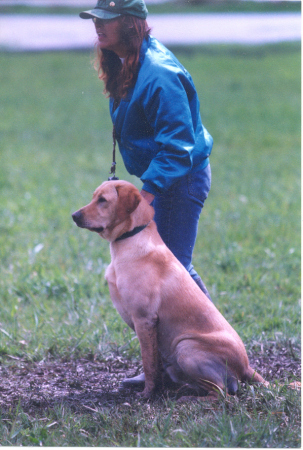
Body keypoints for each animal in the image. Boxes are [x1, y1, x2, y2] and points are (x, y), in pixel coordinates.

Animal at [73, 179, 268, 398]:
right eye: (93, 197)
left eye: (103, 200)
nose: (74, 216)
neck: (130, 239)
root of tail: (247, 367)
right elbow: (154, 362)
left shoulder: (145, 319)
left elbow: (148, 363)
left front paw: (148, 394)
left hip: (185, 347)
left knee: (222, 392)